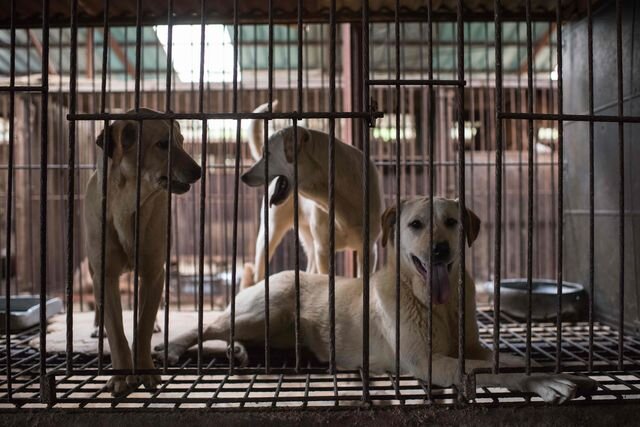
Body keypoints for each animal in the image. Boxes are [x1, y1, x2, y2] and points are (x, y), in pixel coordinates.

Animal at [155, 197, 596, 404]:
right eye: (415, 224)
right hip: (263, 309)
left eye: (451, 222)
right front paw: (546, 382)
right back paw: (171, 348)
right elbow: (488, 372)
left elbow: (507, 359)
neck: (440, 306)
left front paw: (553, 371)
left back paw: (242, 352)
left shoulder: (471, 346)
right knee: (207, 324)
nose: (438, 250)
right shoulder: (429, 362)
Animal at [240, 101, 382, 288]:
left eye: (267, 154)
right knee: (259, 274)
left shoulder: (369, 250)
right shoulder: (323, 250)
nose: (243, 176)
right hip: (268, 236)